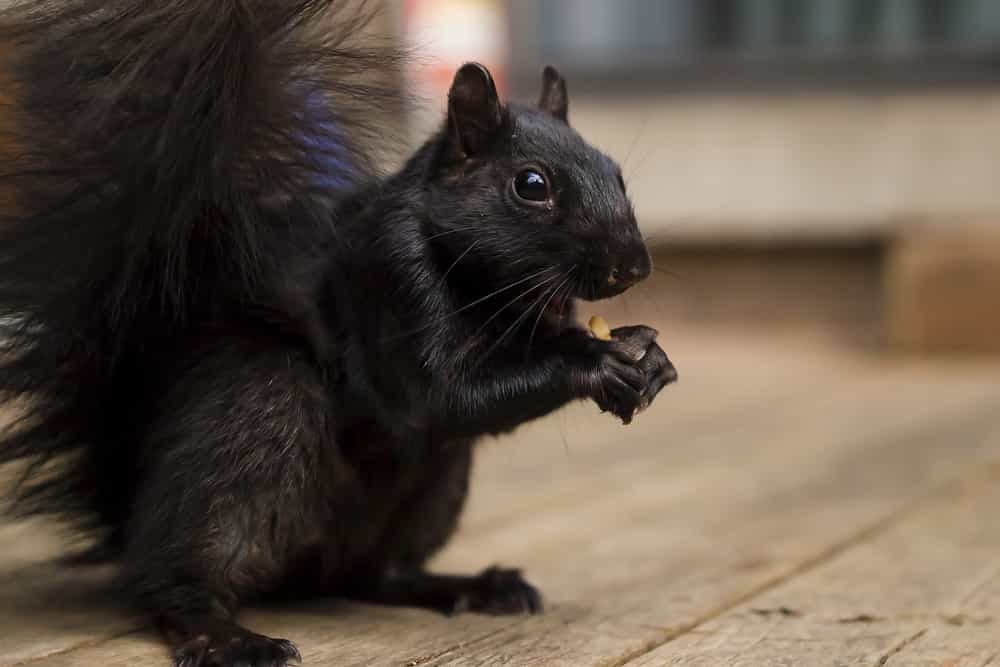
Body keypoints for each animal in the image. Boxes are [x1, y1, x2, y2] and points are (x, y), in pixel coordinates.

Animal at [0, 1, 677, 666]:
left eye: (616, 173)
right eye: (531, 185)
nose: (633, 266)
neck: (487, 290)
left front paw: (649, 357)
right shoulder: (388, 281)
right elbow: (443, 397)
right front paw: (597, 358)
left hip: (435, 485)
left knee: (378, 574)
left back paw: (471, 586)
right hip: (256, 411)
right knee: (179, 570)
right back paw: (222, 634)